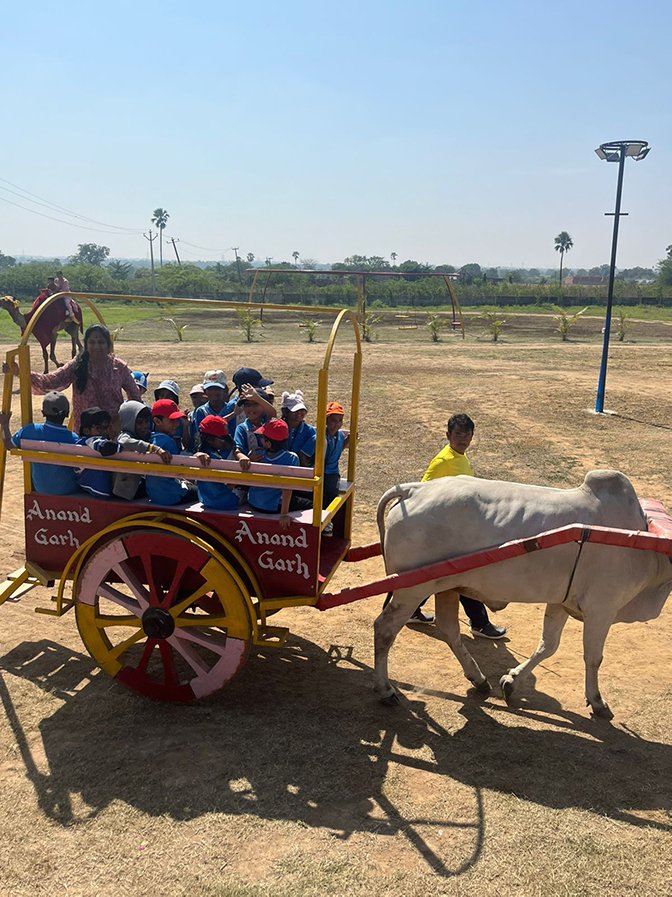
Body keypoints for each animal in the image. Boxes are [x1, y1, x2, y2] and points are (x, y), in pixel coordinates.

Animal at [373, 470, 672, 719]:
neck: (646, 541)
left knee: (449, 629)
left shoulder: (560, 603)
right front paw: (597, 702)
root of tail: (414, 489)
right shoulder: (602, 608)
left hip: (445, 587)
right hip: (412, 590)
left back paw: (479, 680)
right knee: (384, 629)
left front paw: (511, 682)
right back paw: (386, 690)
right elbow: (593, 658)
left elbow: (548, 646)